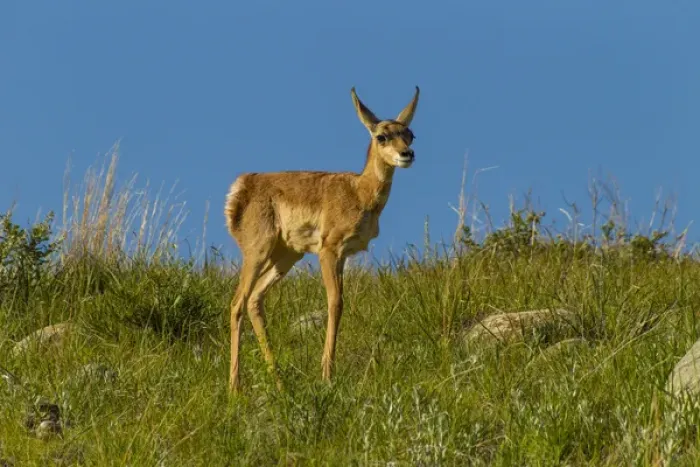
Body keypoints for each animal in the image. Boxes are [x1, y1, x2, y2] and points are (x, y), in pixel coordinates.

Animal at [224, 86, 420, 392]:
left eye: (410, 134)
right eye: (382, 136)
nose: (407, 154)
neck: (360, 192)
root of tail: (244, 184)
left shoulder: (342, 256)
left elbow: (339, 302)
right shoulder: (329, 251)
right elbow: (335, 302)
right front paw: (327, 373)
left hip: (286, 256)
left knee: (255, 299)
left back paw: (279, 382)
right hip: (258, 253)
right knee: (237, 304)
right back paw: (235, 387)